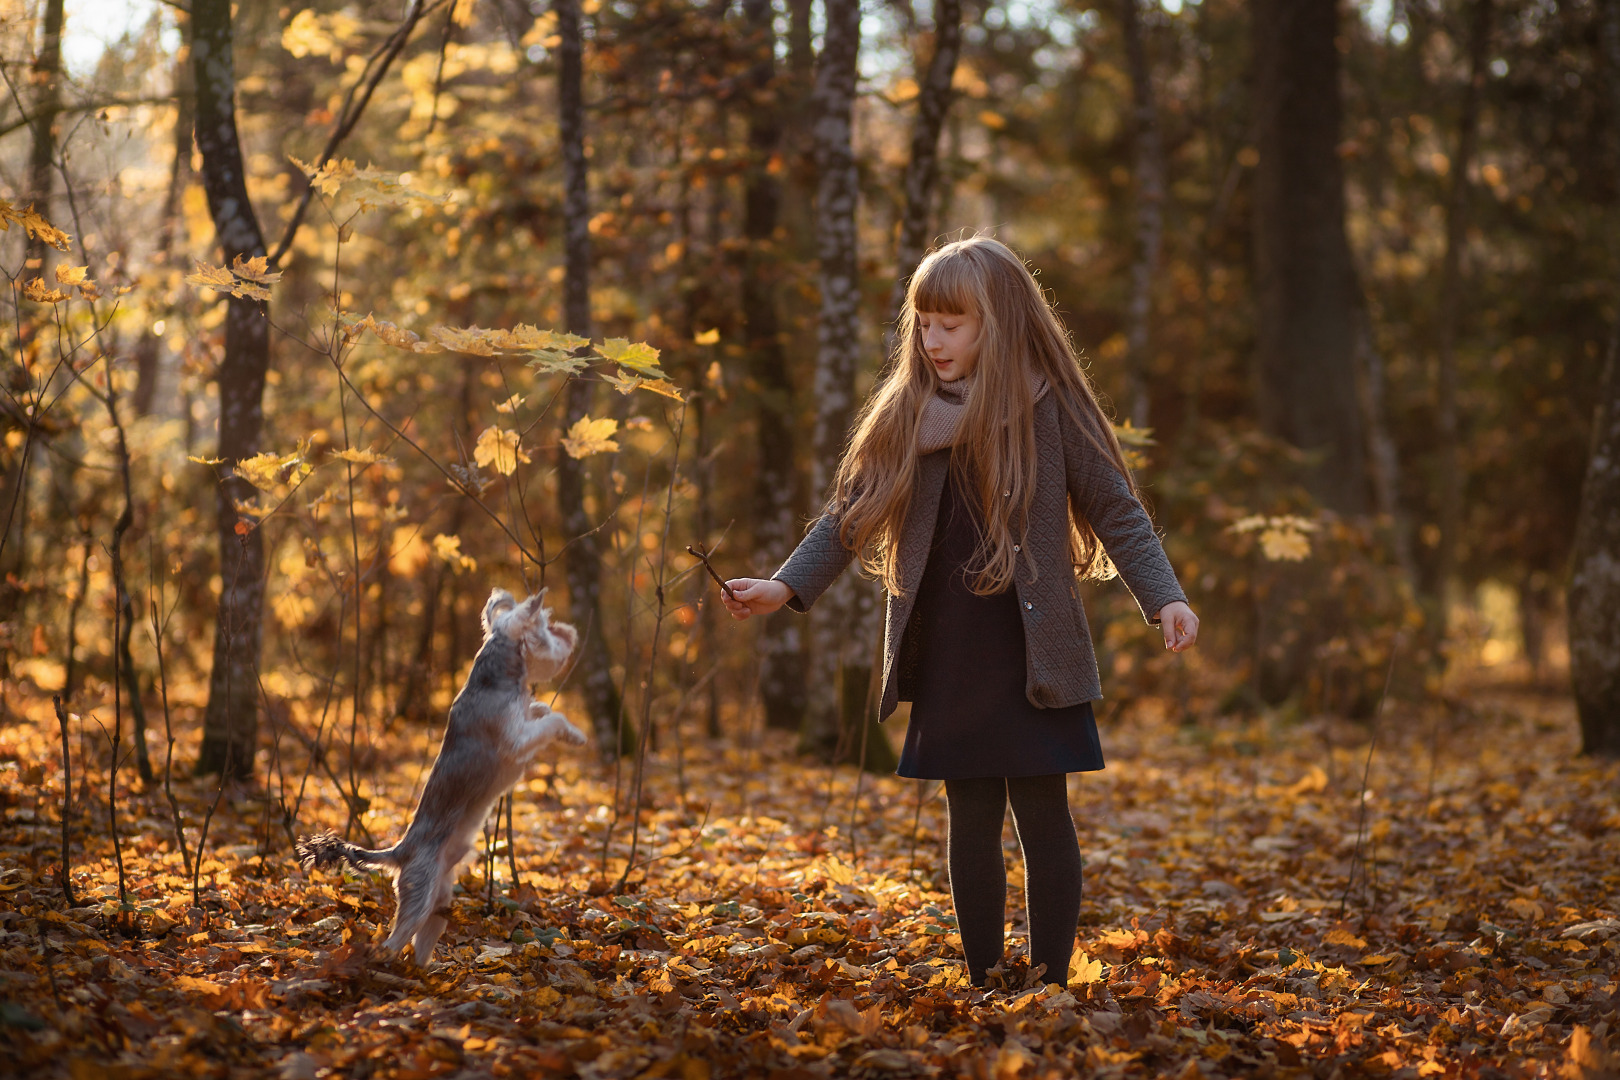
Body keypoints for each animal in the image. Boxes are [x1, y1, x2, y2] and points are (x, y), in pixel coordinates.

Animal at [299, 592, 589, 965]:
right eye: (549, 626)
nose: (571, 633)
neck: (497, 679)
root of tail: (399, 851)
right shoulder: (515, 740)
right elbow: (552, 718)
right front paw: (576, 733)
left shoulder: (525, 717)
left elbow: (544, 710)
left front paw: (572, 734)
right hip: (421, 893)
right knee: (396, 940)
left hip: (440, 901)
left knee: (421, 943)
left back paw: (426, 971)